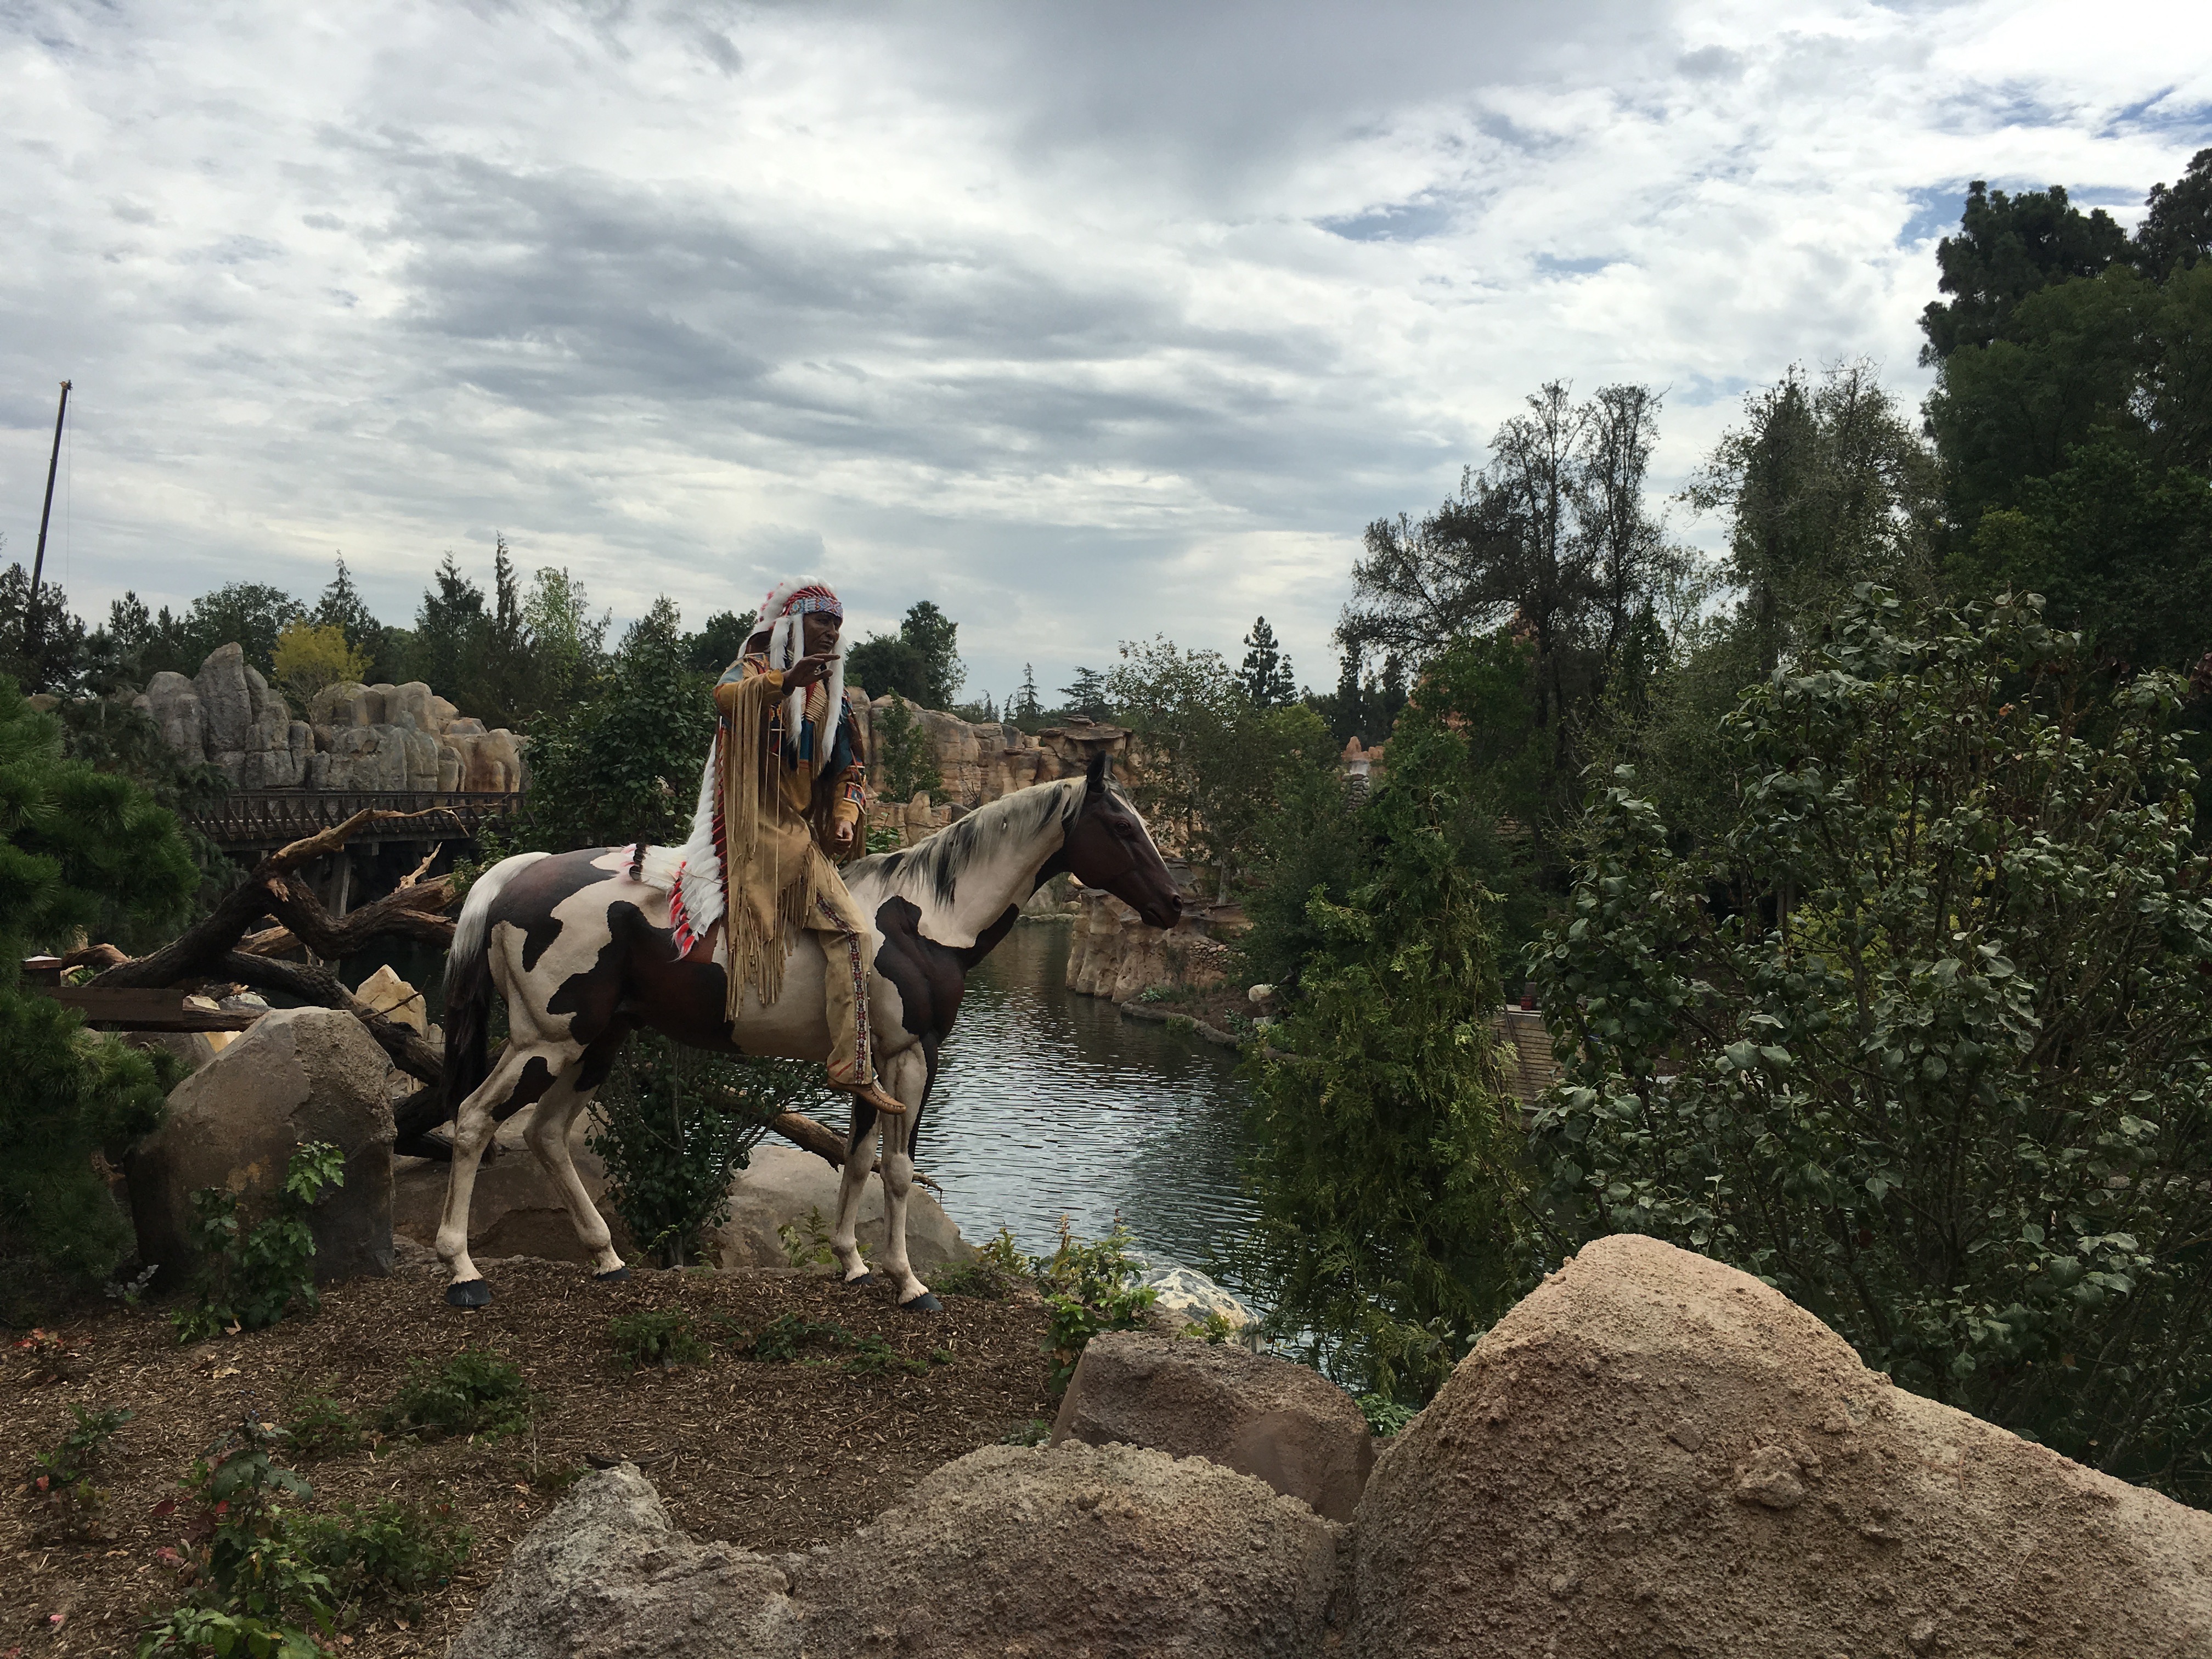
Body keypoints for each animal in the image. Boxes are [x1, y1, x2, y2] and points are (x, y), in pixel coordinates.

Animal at [438, 752, 1186, 1309]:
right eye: (1122, 828)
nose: (1175, 903)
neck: (924, 921)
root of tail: (520, 873)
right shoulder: (914, 1058)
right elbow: (900, 1171)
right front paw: (908, 1283)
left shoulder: (871, 1066)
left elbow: (857, 1161)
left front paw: (852, 1264)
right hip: (546, 1042)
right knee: (474, 1120)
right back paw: (463, 1271)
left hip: (596, 1043)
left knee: (545, 1135)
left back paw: (606, 1258)